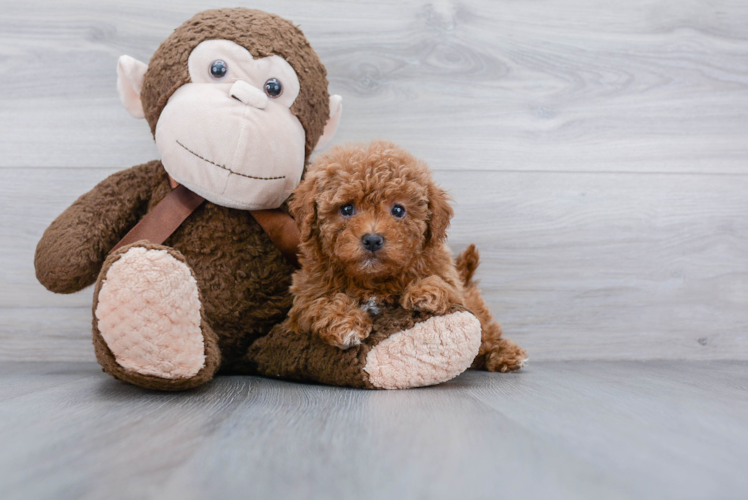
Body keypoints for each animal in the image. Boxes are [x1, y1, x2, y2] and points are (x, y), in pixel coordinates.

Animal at [286, 141, 524, 372]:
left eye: (398, 210)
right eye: (346, 208)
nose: (372, 239)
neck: (373, 280)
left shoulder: (450, 282)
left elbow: (445, 286)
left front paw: (425, 291)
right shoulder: (304, 297)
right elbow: (322, 303)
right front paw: (347, 323)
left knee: (487, 332)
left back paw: (504, 353)